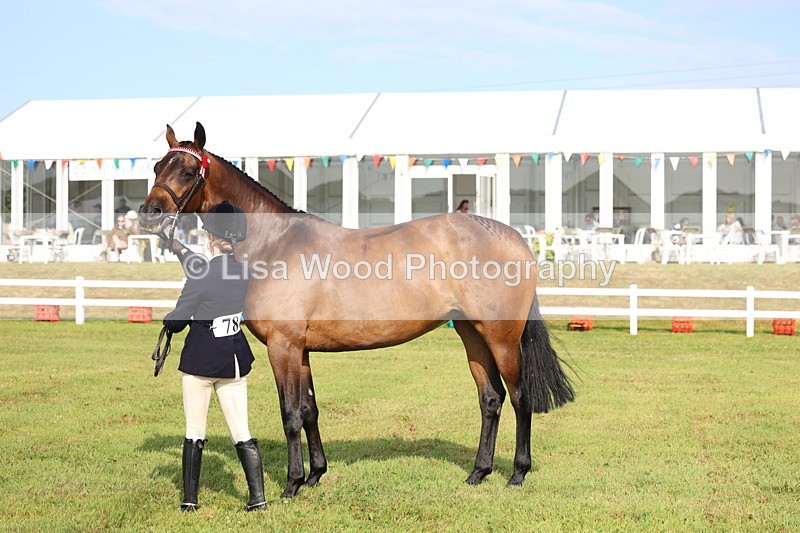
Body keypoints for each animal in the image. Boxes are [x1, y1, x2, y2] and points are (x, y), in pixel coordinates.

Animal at [139, 122, 574, 498]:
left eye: (188, 170)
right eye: (158, 166)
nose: (149, 213)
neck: (275, 244)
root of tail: (515, 239)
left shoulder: (283, 346)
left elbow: (290, 413)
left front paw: (292, 484)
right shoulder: (301, 350)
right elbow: (310, 410)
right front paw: (315, 474)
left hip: (502, 337)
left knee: (519, 397)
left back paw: (517, 473)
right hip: (473, 334)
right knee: (490, 399)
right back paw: (478, 472)